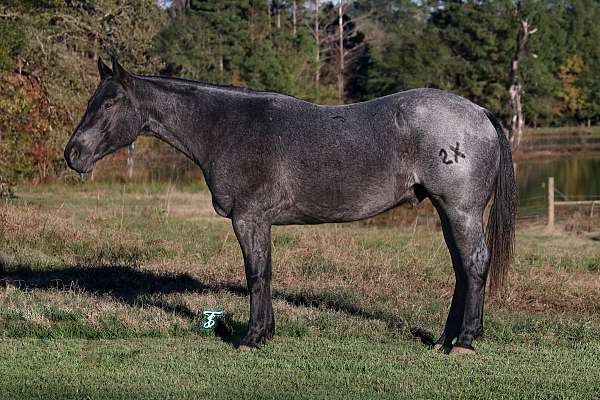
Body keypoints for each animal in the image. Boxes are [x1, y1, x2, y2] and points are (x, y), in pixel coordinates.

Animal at [64, 57, 516, 354]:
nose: (73, 154)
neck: (228, 129)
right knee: (461, 268)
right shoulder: (259, 222)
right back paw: (445, 338)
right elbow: (265, 274)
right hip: (446, 211)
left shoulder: (248, 219)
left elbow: (256, 275)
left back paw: (465, 342)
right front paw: (265, 333)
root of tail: (480, 112)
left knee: (475, 263)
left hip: (460, 210)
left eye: (109, 103)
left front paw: (251, 338)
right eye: (91, 101)